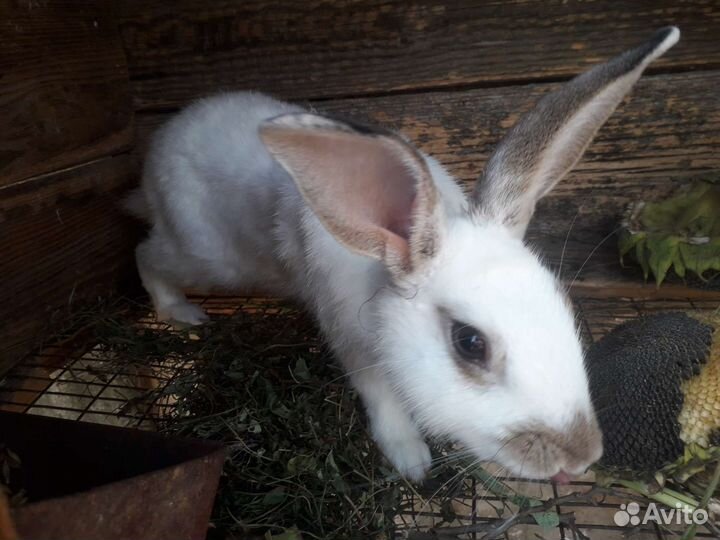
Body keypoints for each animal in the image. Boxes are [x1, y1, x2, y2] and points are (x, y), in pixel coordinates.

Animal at [128, 27, 680, 482]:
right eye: (470, 343)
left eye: (562, 308)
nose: (580, 458)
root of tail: (160, 145)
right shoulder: (350, 339)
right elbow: (381, 395)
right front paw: (411, 459)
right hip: (209, 257)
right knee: (145, 253)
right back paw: (178, 311)